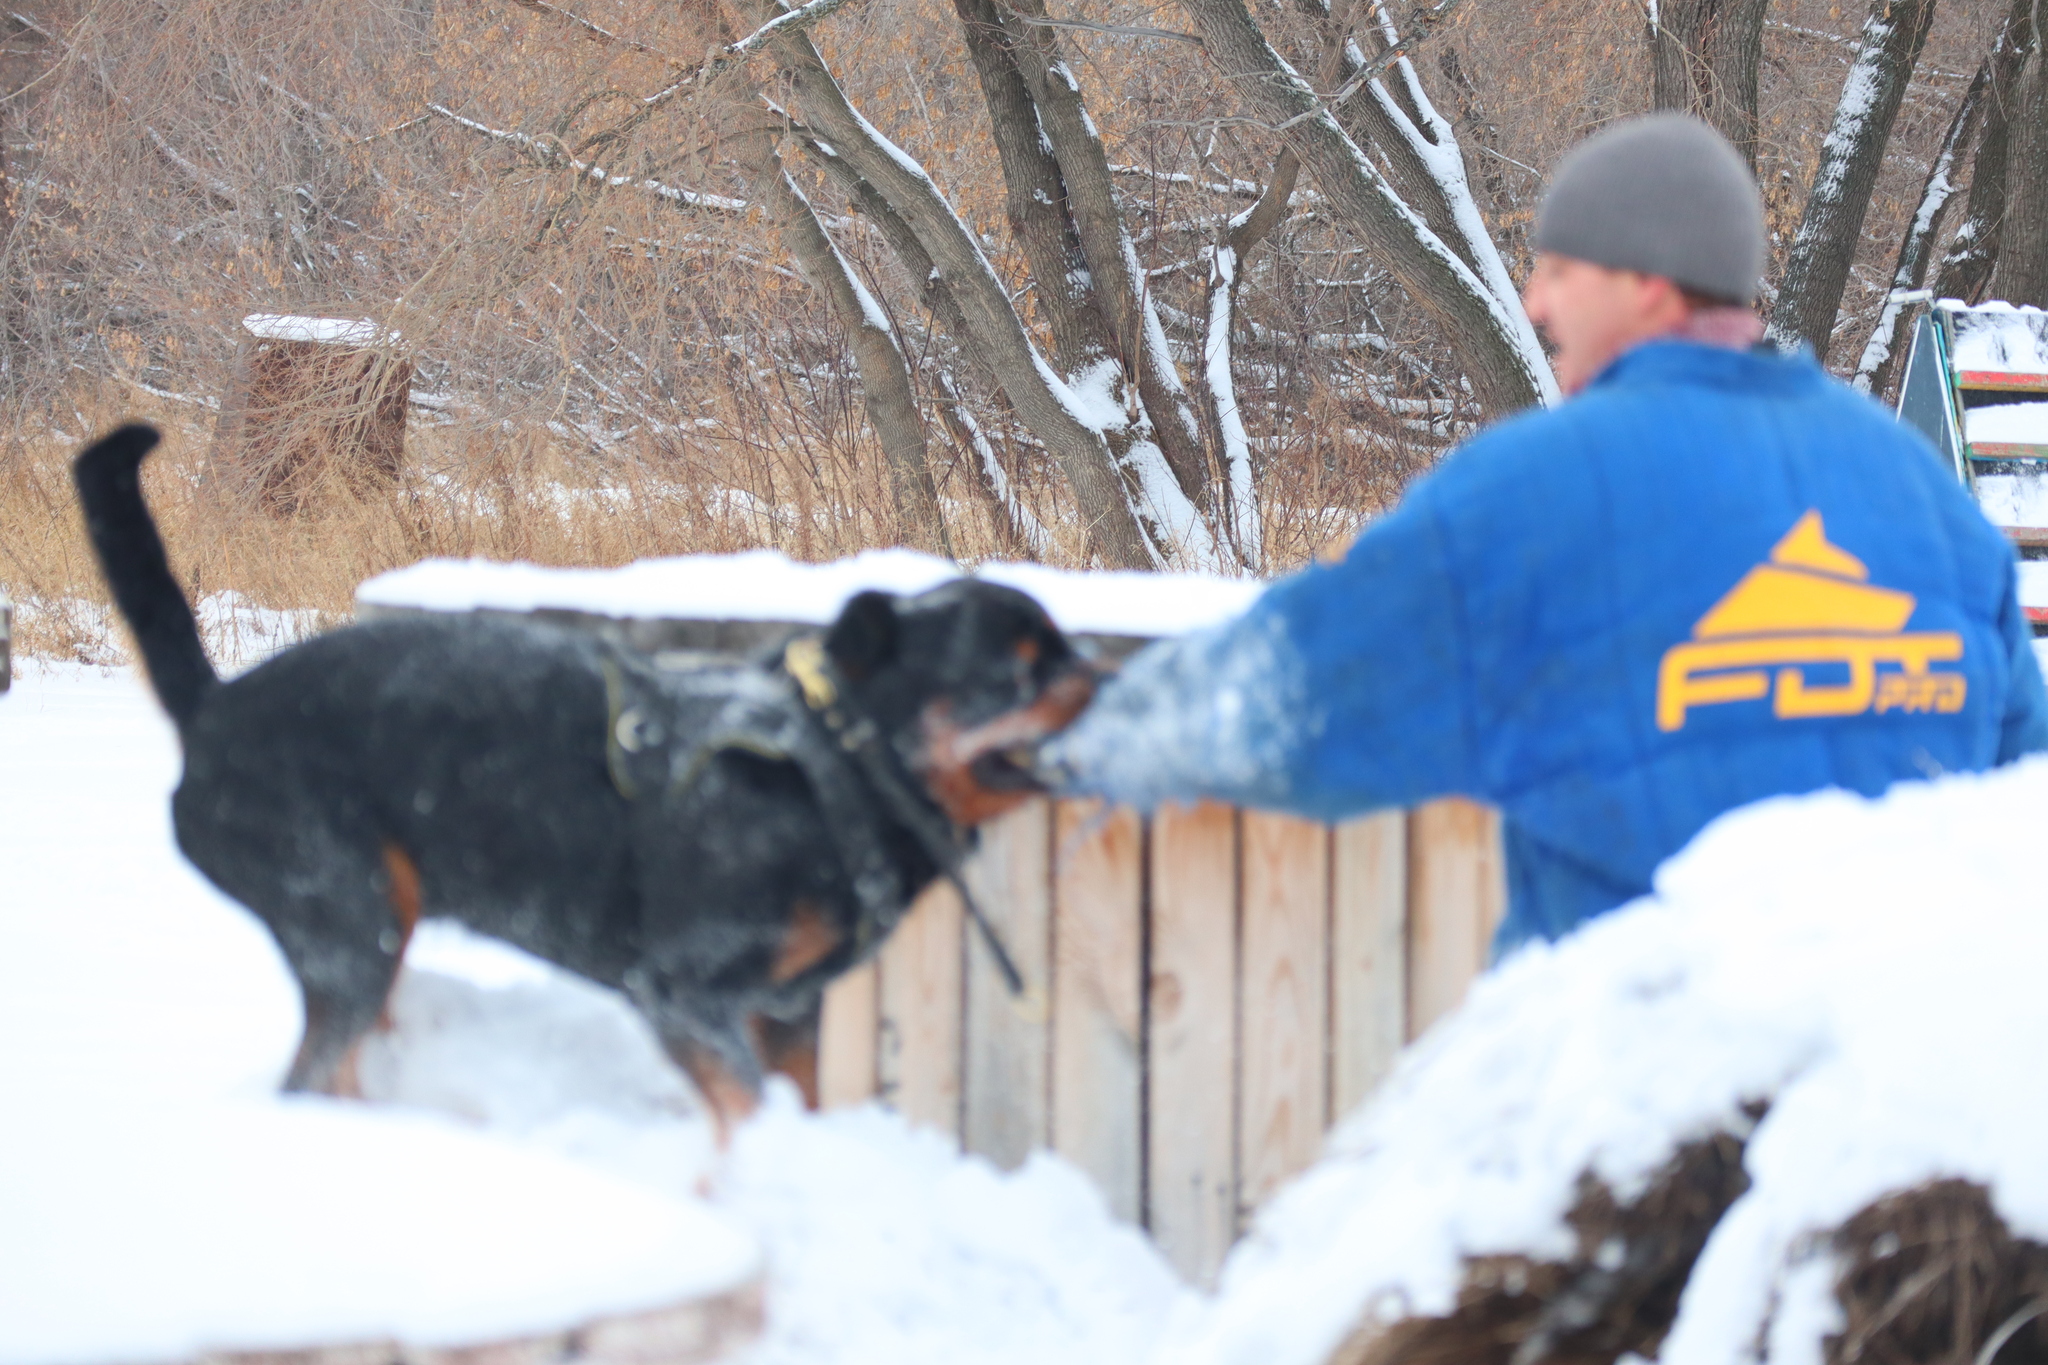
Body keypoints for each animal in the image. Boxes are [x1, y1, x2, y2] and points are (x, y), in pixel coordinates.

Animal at [75, 427, 1105, 1129]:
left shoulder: (790, 1012)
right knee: (313, 1071)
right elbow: (747, 1109)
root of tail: (213, 708)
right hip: (349, 919)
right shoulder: (683, 991)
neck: (831, 767)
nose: (1110, 670)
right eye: (1022, 669)